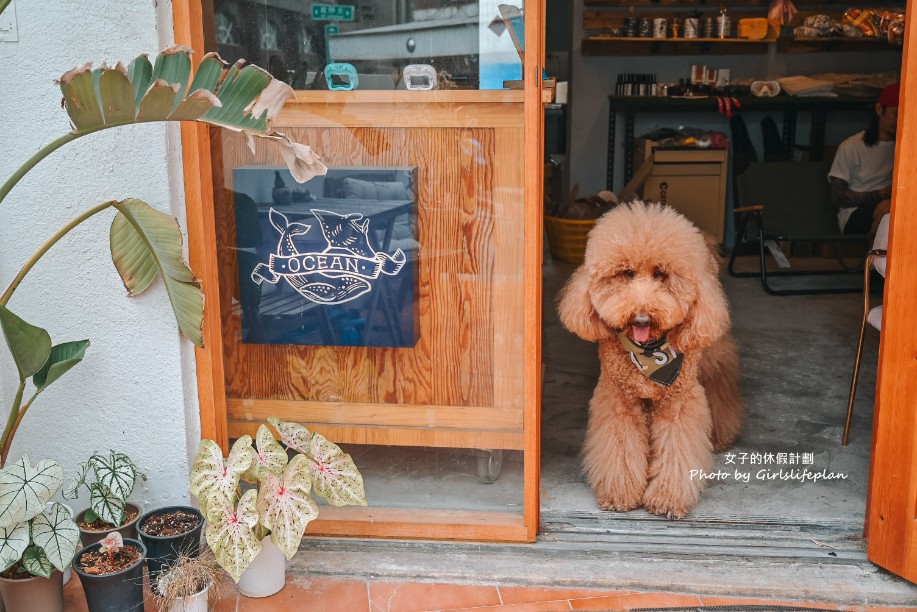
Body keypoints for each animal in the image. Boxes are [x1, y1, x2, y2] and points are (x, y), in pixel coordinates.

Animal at [556, 201, 740, 516]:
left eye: (661, 274)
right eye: (627, 273)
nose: (642, 317)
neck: (651, 355)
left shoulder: (678, 402)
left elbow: (677, 450)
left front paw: (667, 498)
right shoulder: (618, 399)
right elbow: (620, 447)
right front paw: (620, 494)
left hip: (711, 349)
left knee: (720, 384)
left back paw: (720, 436)